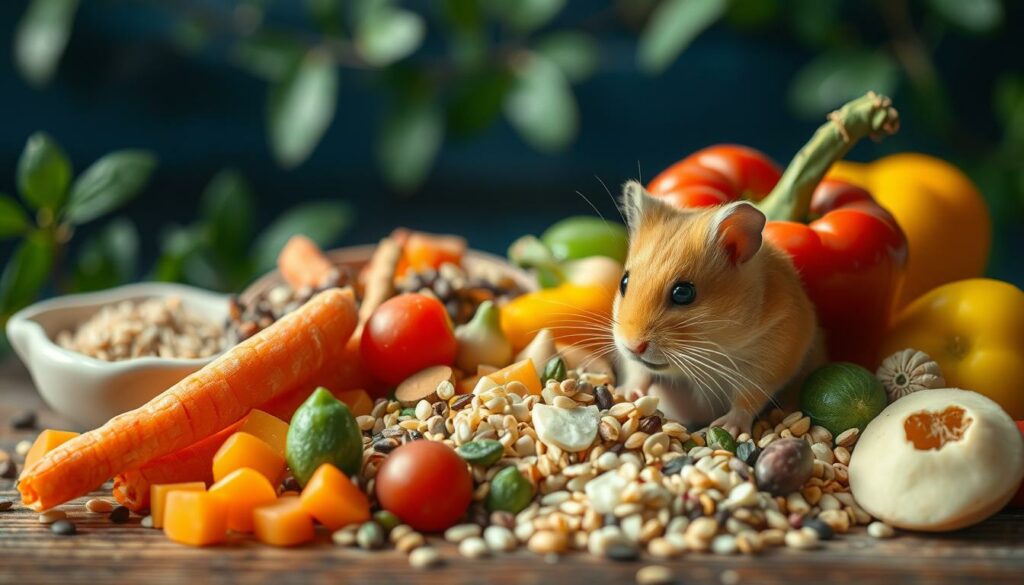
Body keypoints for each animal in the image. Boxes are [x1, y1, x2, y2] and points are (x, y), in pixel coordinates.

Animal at [610, 181, 819, 436]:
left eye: (683, 293)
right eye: (624, 282)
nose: (632, 346)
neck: (711, 350)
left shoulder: (772, 358)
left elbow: (747, 398)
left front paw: (728, 428)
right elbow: (637, 370)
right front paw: (625, 395)